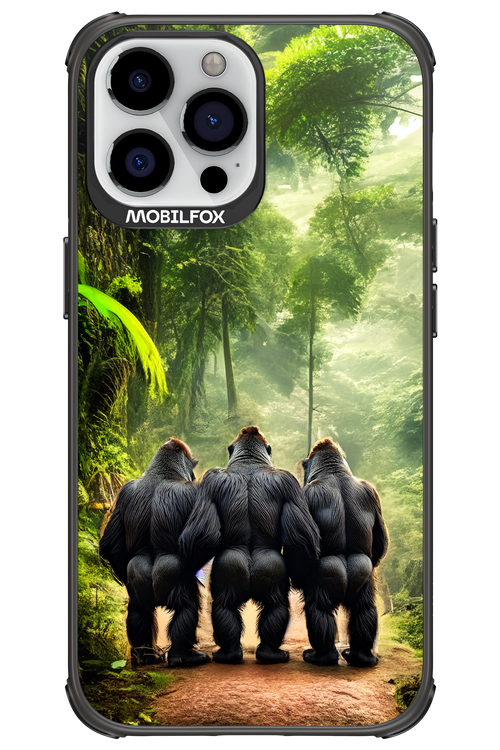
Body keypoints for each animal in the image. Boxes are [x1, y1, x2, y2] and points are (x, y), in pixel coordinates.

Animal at [300, 437, 389, 667]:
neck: (334, 471)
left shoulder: (305, 494)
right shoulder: (372, 493)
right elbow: (380, 540)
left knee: (318, 607)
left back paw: (322, 655)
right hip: (363, 573)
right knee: (364, 608)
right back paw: (361, 656)